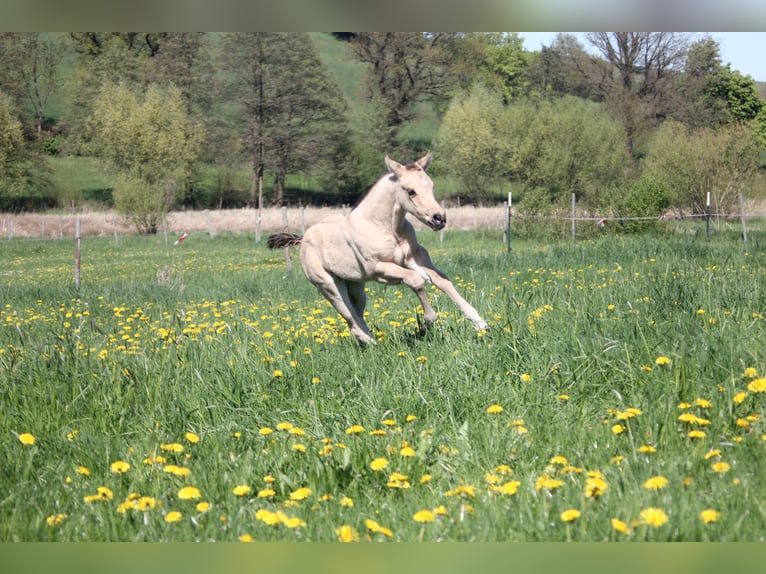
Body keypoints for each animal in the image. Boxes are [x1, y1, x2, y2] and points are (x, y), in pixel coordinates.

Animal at [267, 152, 488, 344]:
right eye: (411, 191)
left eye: (431, 186)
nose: (439, 219)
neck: (385, 228)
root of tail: (303, 239)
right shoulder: (380, 269)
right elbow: (415, 280)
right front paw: (429, 320)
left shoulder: (416, 257)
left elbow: (442, 281)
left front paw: (480, 324)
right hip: (328, 285)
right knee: (350, 317)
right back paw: (375, 344)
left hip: (356, 287)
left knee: (356, 315)